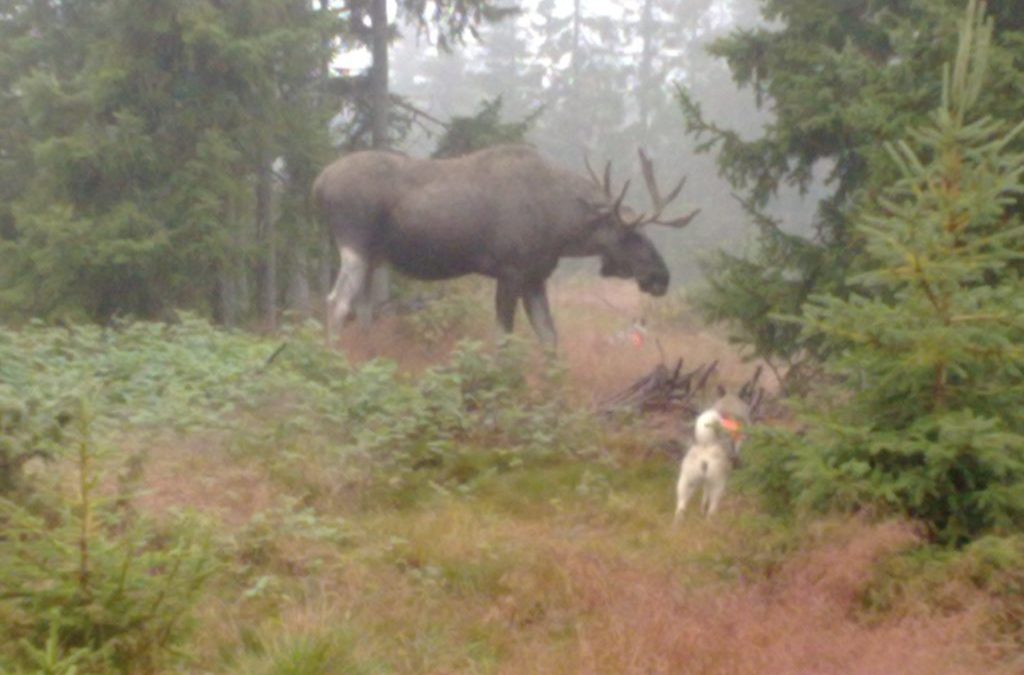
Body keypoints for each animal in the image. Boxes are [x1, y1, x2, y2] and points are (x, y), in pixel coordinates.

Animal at [309, 144, 696, 348]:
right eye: (632, 235)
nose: (661, 277)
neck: (560, 224)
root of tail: (319, 183)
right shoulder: (510, 271)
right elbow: (503, 338)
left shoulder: (535, 276)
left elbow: (550, 338)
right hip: (354, 243)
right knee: (336, 302)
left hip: (372, 257)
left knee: (362, 310)